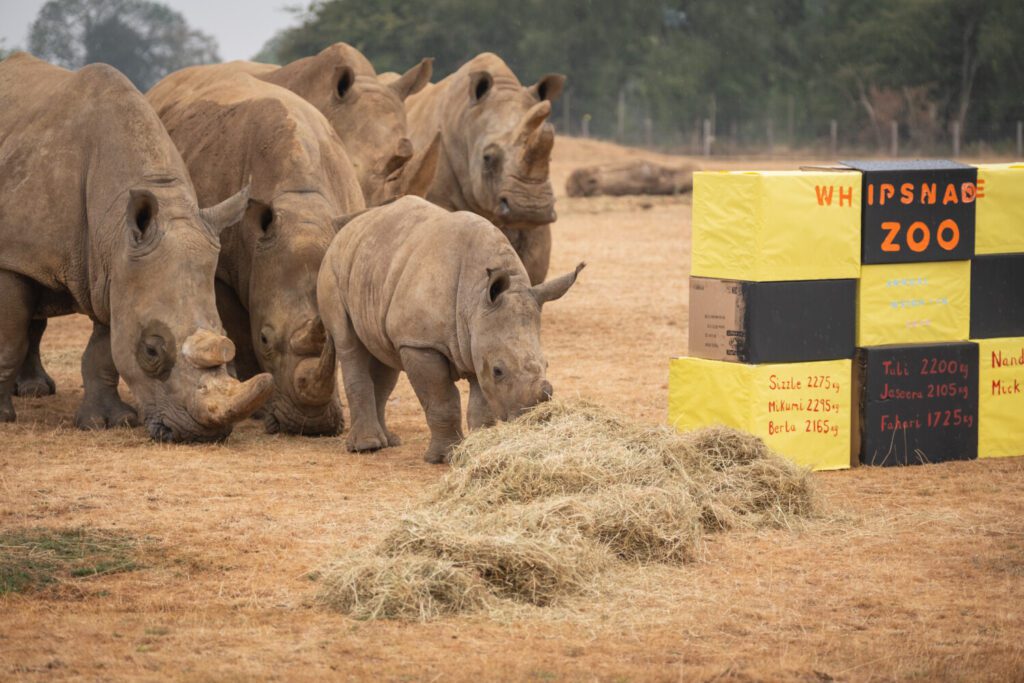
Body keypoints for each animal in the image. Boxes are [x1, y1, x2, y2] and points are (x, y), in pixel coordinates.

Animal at [0, 53, 273, 441]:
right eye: (152, 350)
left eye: (224, 335)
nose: (200, 435)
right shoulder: (14, 257)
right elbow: (9, 339)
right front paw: (1, 417)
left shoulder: (115, 270)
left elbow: (104, 351)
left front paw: (105, 422)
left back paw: (36, 391)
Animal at [148, 64, 366, 435]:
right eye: (265, 339)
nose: (310, 425)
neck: (300, 205)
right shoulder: (220, 268)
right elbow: (239, 332)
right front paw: (260, 411)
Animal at [317, 196, 583, 463]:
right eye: (498, 371)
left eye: (547, 364)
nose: (528, 418)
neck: (475, 300)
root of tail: (348, 226)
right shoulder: (420, 343)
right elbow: (442, 400)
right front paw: (443, 457)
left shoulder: (477, 341)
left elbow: (481, 406)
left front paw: (475, 449)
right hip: (332, 268)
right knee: (349, 345)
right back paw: (367, 446)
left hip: (375, 269)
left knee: (384, 355)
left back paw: (389, 442)